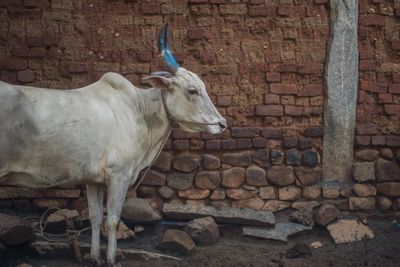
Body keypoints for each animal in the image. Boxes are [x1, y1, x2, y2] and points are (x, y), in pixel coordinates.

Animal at [0, 24, 227, 266]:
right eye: (192, 90)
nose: (222, 123)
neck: (139, 110)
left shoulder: (93, 180)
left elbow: (96, 217)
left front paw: (94, 257)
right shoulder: (120, 175)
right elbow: (113, 219)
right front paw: (111, 258)